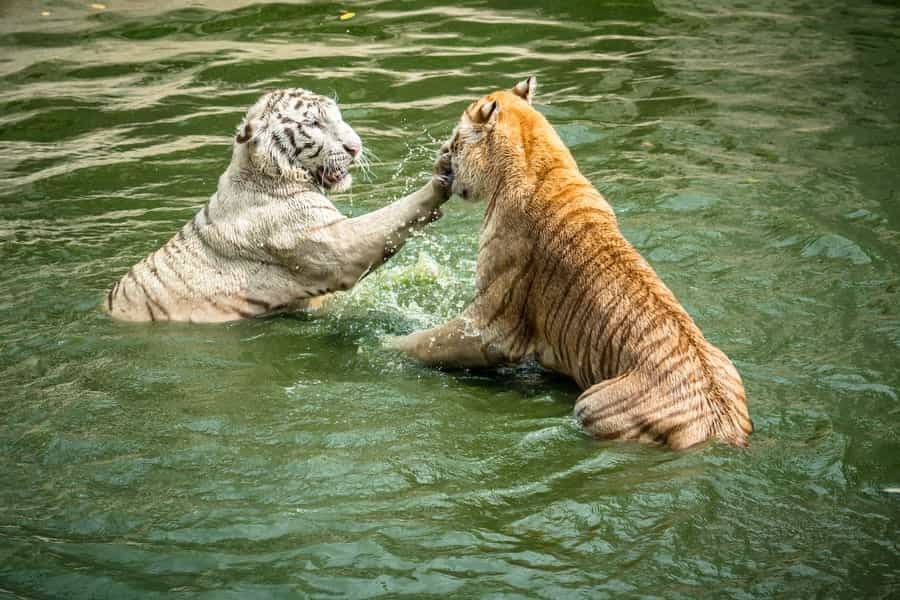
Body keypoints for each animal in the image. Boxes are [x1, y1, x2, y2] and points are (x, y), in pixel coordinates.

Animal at [107, 86, 450, 322]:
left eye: (338, 117)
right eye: (314, 123)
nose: (355, 147)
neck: (265, 172)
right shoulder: (333, 243)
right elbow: (390, 218)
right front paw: (441, 173)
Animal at [392, 77, 752, 448]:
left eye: (455, 140)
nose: (442, 155)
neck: (538, 161)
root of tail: (721, 422)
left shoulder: (492, 322)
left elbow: (428, 341)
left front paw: (386, 345)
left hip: (592, 403)